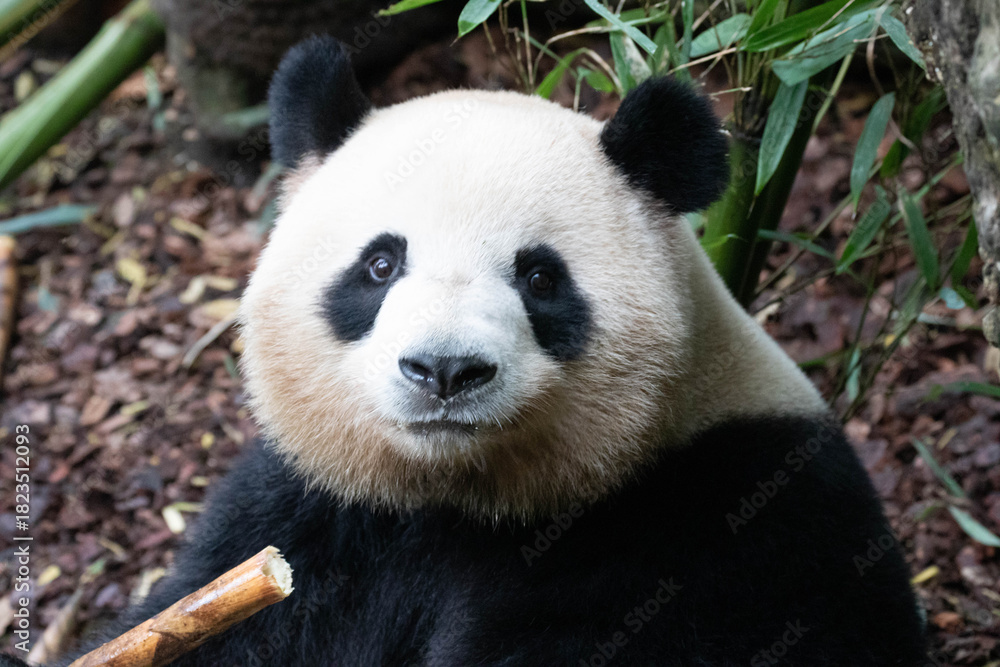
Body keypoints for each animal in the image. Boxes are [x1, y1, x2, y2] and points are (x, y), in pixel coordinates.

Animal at [29, 35, 928, 667]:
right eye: (380, 264)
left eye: (539, 276)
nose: (445, 370)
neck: (459, 499)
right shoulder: (311, 508)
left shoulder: (721, 527)